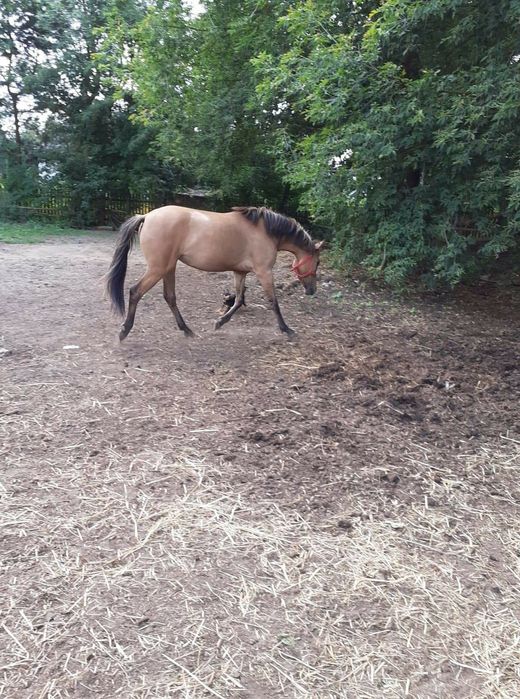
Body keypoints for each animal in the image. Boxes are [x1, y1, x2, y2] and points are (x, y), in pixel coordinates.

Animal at [105, 205, 322, 342]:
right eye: (318, 262)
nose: (312, 290)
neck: (266, 231)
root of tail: (147, 216)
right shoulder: (264, 272)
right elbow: (273, 303)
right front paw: (287, 329)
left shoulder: (240, 272)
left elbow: (238, 300)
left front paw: (220, 322)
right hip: (157, 269)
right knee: (135, 292)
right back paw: (124, 331)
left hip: (168, 268)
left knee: (170, 297)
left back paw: (187, 330)